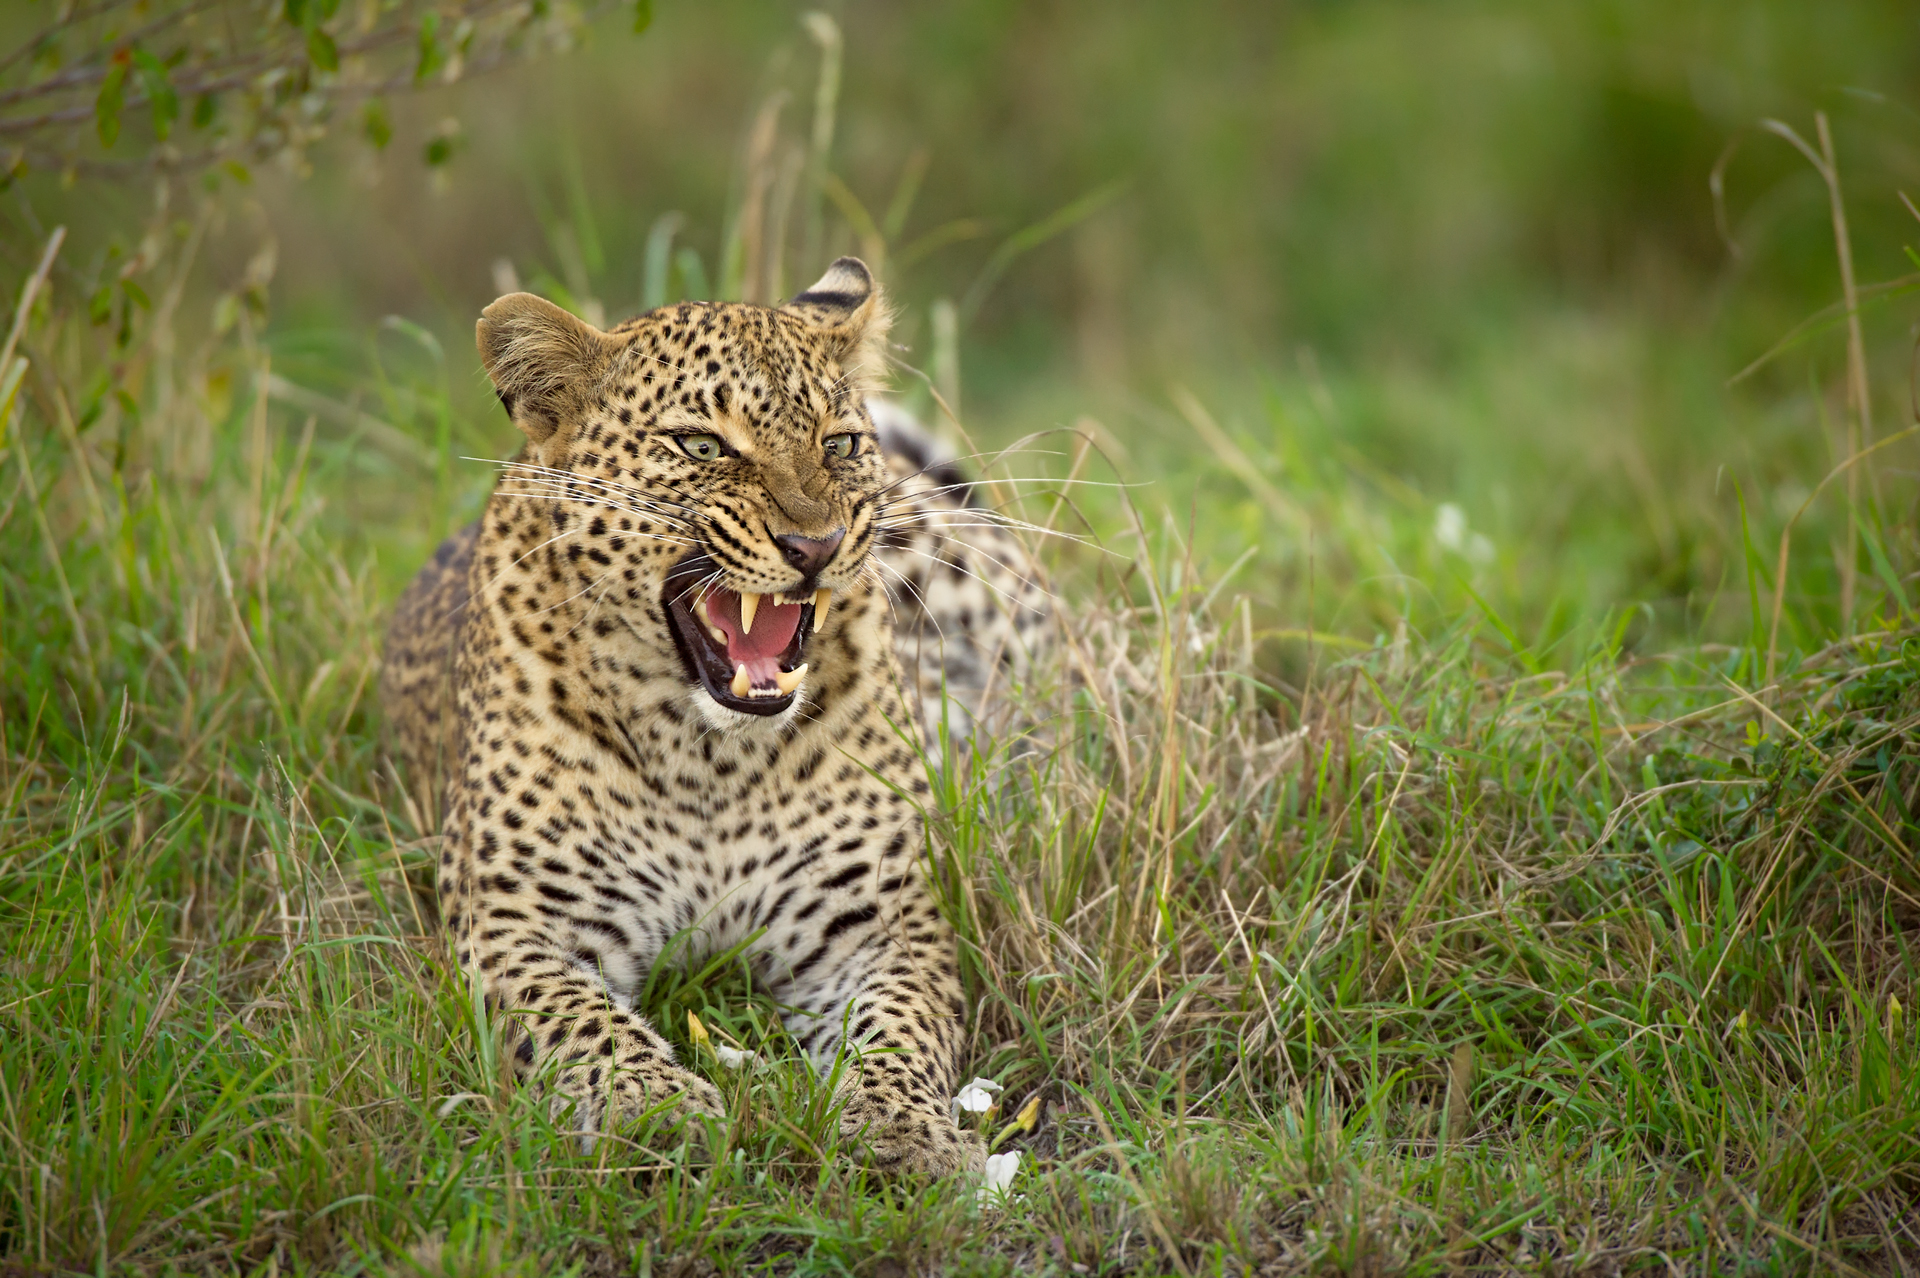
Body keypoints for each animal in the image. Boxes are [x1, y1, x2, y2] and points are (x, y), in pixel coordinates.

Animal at [379, 258, 1047, 1177]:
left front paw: (902, 1130)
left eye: (839, 445)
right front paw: (656, 1109)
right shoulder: (517, 924)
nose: (817, 545)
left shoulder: (880, 924)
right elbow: (581, 1024)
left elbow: (898, 1032)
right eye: (702, 446)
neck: (712, 759)